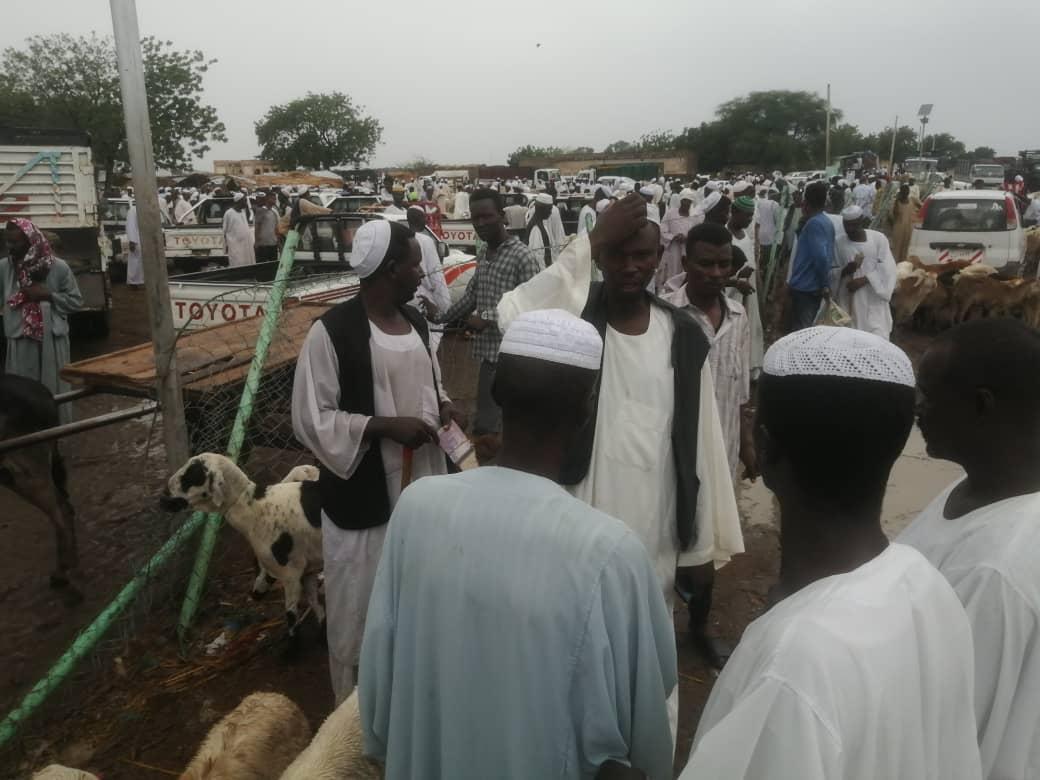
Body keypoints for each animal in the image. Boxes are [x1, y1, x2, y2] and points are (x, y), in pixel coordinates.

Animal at [0, 375, 80, 599]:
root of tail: (45, 392)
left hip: (26, 473)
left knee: (61, 512)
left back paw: (64, 575)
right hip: (14, 476)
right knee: (65, 505)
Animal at [161, 453, 324, 635]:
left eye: (191, 475)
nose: (163, 497)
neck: (252, 508)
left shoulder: (290, 574)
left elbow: (292, 621)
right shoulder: (307, 570)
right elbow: (318, 608)